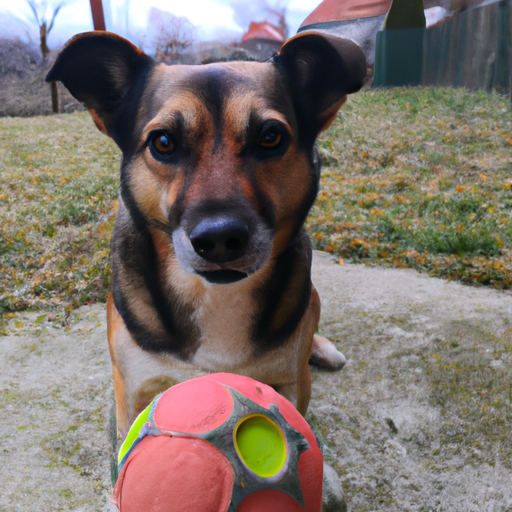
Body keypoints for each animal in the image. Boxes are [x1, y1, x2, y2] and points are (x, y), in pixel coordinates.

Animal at [46, 30, 366, 438]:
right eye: (163, 141)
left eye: (271, 136)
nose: (219, 239)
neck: (213, 295)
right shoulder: (131, 391)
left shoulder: (292, 386)